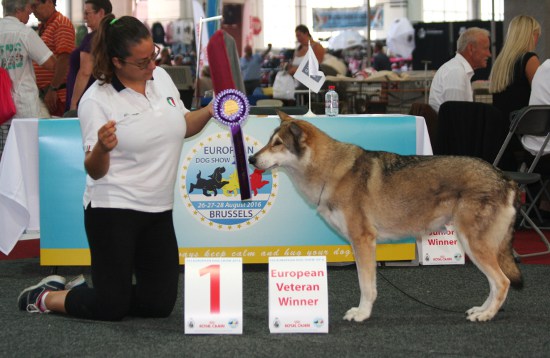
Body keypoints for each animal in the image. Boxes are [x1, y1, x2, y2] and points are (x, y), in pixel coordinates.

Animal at [250, 111, 528, 322]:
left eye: (277, 144)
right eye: (269, 141)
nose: (251, 158)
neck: (330, 171)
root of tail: (506, 178)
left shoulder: (362, 241)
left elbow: (365, 285)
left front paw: (361, 314)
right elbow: (370, 285)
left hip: (474, 244)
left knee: (502, 282)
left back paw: (486, 315)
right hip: (475, 245)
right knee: (495, 284)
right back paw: (481, 310)